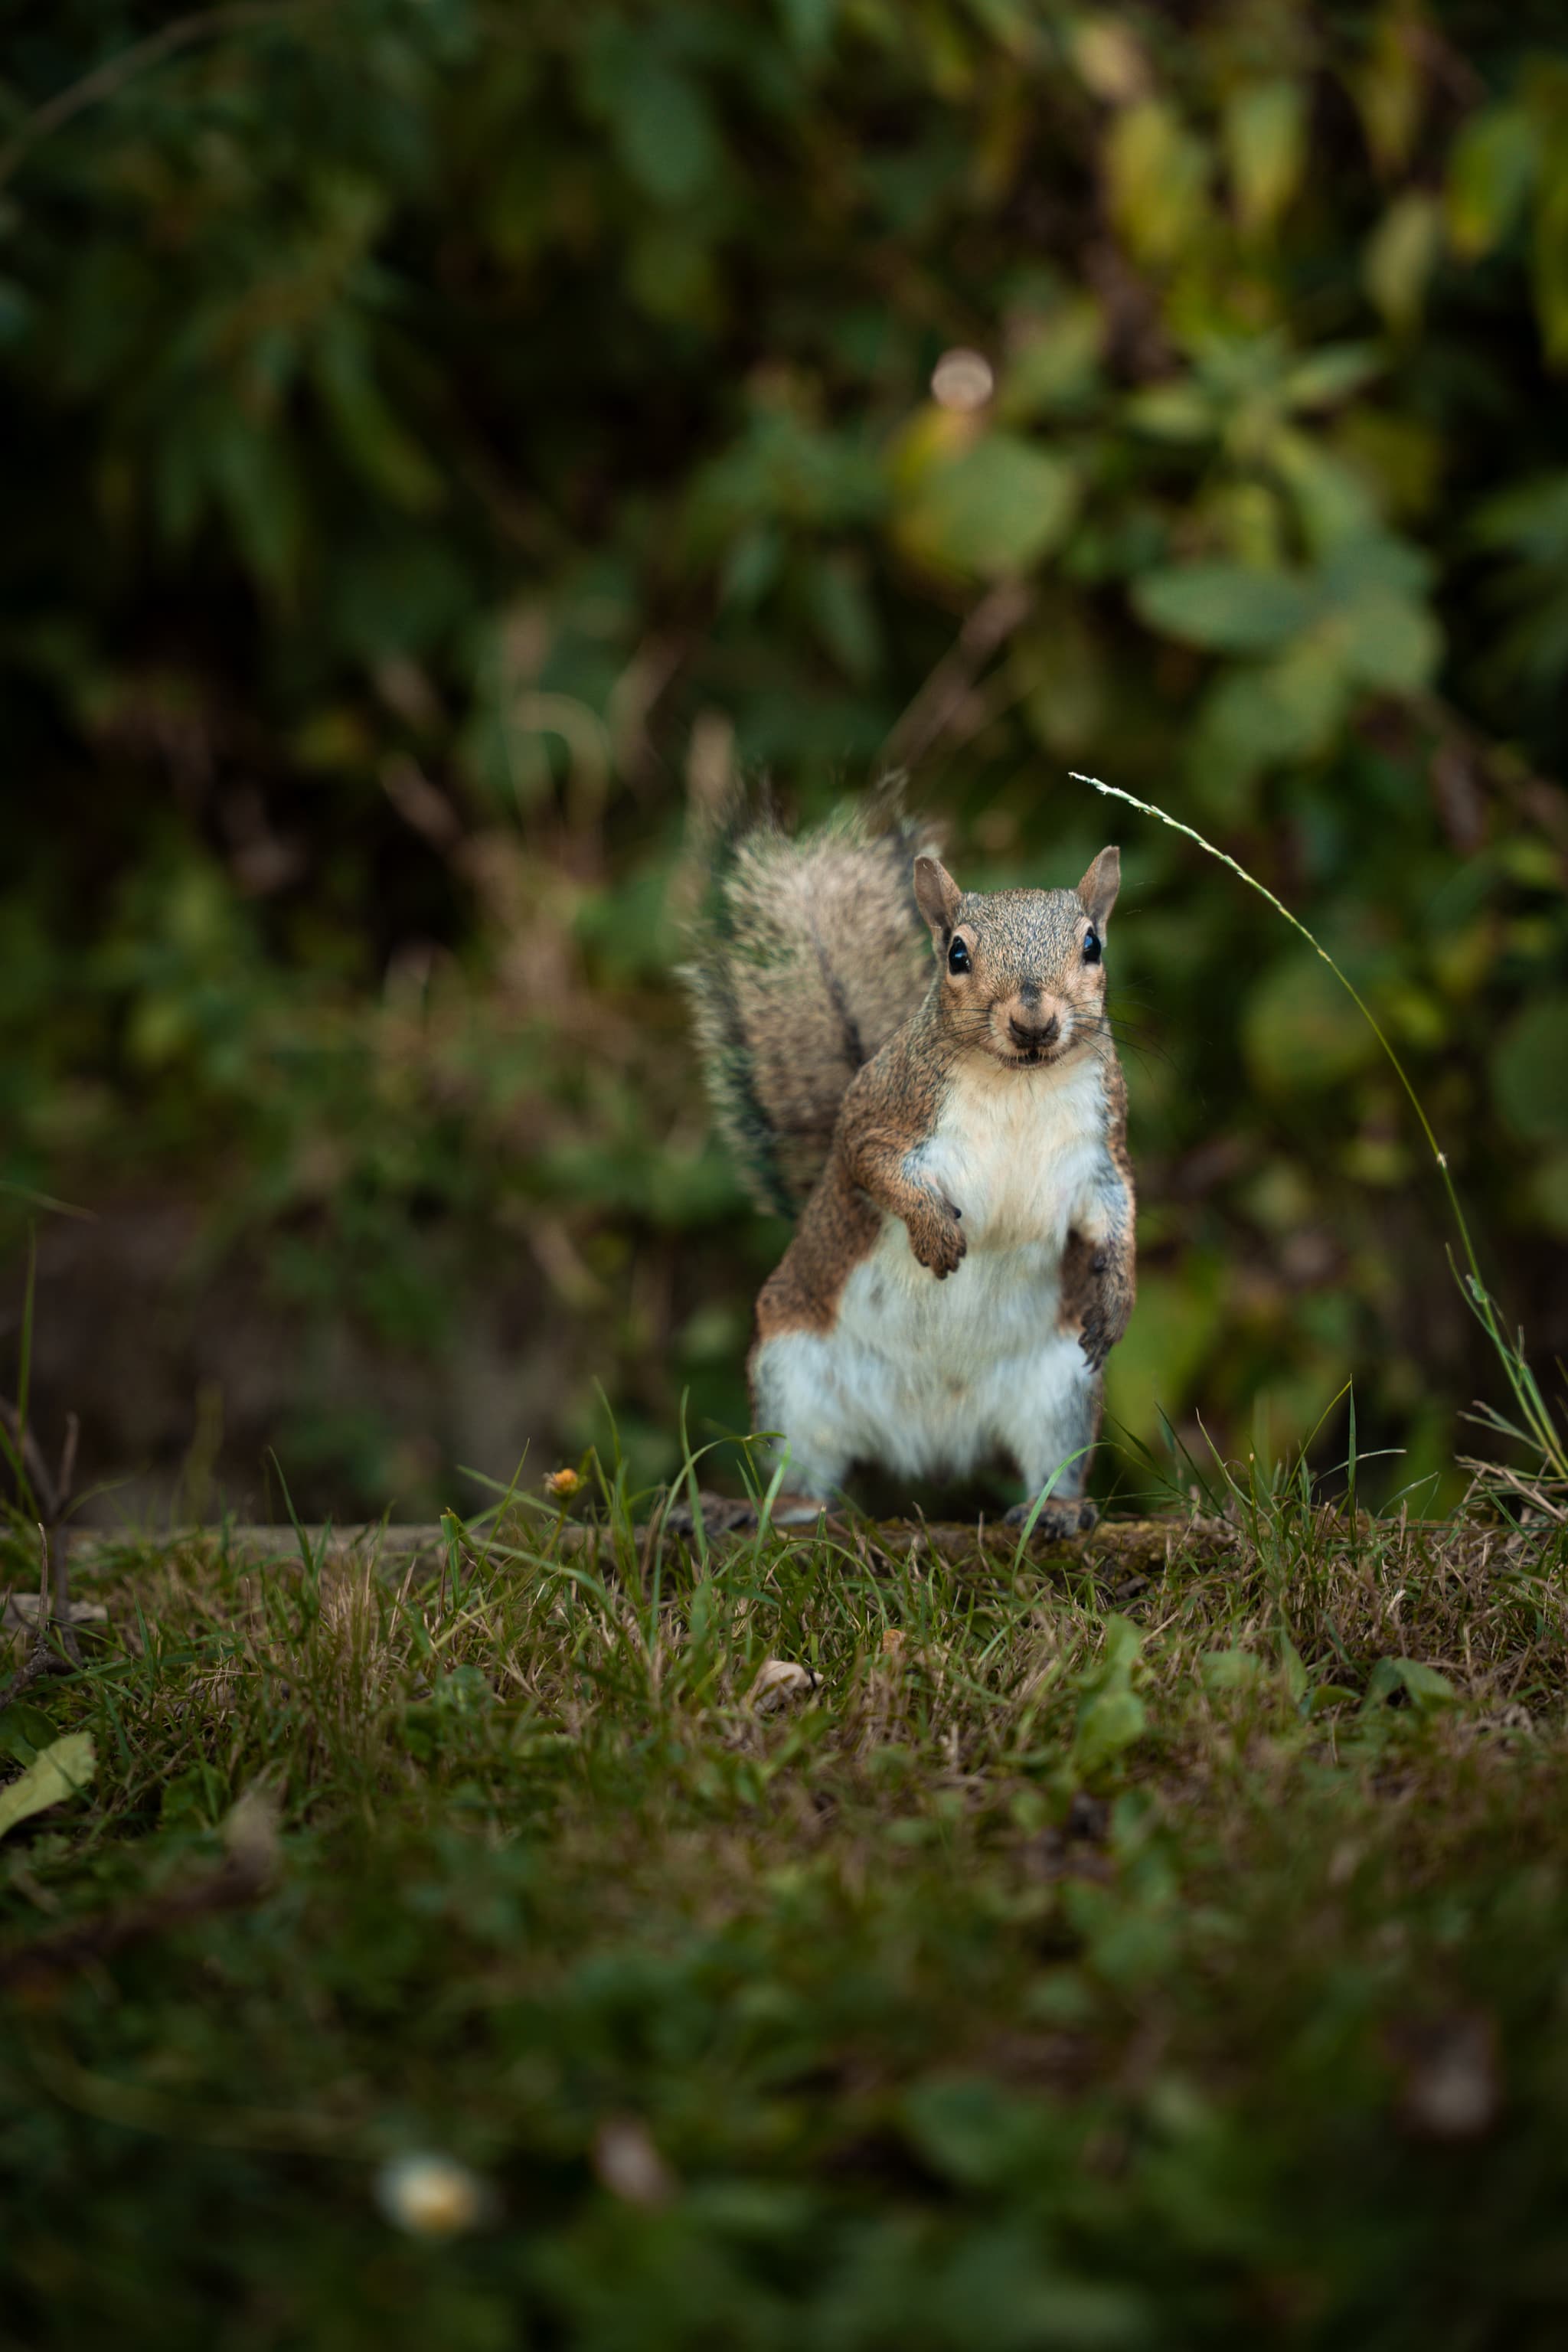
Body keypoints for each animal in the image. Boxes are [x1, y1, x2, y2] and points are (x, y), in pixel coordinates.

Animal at [680, 798, 1135, 1536]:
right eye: (957, 954)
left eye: (1092, 945)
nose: (1033, 1021)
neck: (1021, 1083)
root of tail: (930, 1438)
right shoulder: (879, 1118)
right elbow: (877, 1171)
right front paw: (935, 1233)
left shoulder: (1100, 1153)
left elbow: (1117, 1215)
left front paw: (1118, 1293)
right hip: (793, 1375)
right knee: (801, 1474)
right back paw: (759, 1512)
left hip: (1060, 1388)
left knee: (1051, 1463)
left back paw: (1058, 1513)